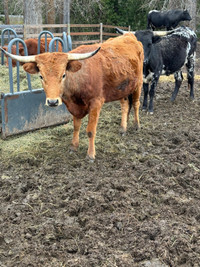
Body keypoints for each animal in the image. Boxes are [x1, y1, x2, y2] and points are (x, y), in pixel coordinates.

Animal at [1, 32, 145, 160]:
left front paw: (90, 155)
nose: (52, 102)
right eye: (41, 76)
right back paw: (122, 128)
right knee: (125, 105)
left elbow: (90, 130)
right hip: (122, 88)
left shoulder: (96, 103)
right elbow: (76, 127)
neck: (79, 79)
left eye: (63, 74)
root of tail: (129, 36)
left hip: (138, 84)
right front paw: (73, 146)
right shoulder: (74, 107)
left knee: (136, 104)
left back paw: (136, 126)